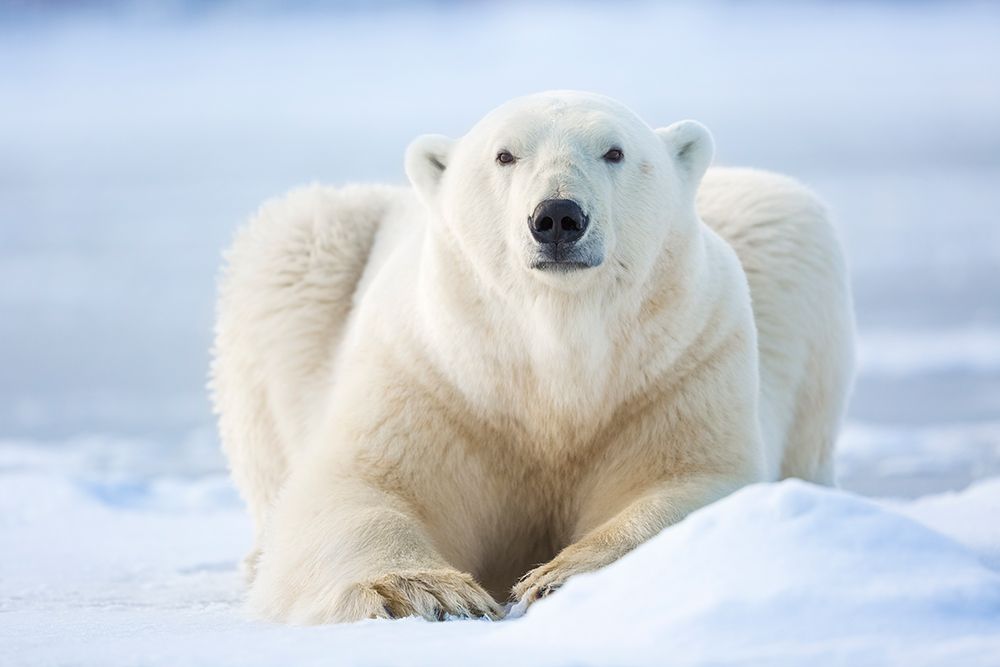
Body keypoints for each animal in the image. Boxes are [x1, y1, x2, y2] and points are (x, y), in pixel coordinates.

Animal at [211, 91, 855, 624]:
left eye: (615, 151)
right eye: (504, 155)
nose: (558, 216)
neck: (552, 353)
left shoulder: (677, 368)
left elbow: (693, 484)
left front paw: (557, 576)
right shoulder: (431, 376)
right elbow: (356, 488)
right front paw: (425, 592)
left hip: (781, 235)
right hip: (309, 254)